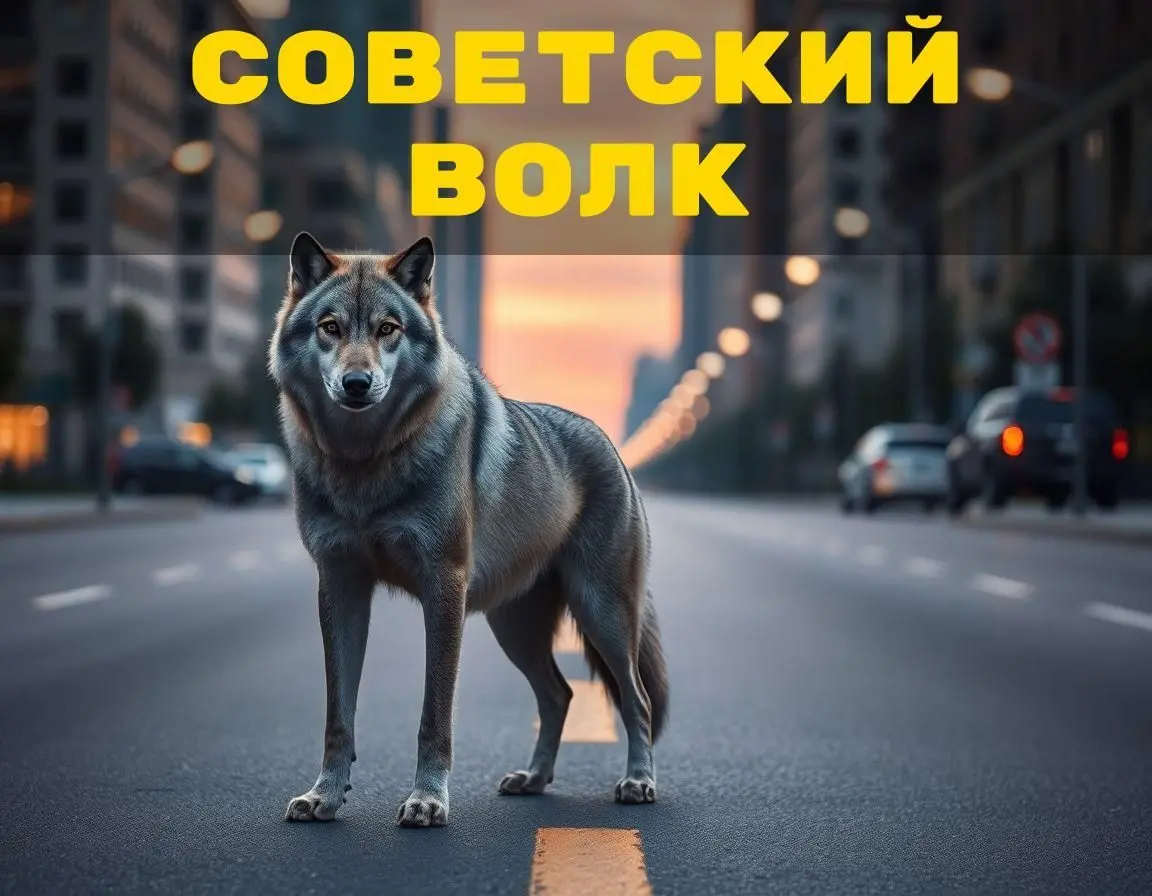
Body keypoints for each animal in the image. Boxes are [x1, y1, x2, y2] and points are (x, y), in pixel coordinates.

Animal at [269, 232, 669, 828]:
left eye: (388, 329)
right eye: (331, 327)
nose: (357, 383)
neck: (365, 463)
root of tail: (612, 446)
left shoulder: (444, 586)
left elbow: (434, 715)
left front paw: (427, 801)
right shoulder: (340, 586)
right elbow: (338, 716)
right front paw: (325, 796)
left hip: (604, 618)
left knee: (634, 699)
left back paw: (639, 782)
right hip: (516, 630)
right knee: (560, 696)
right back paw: (533, 779)